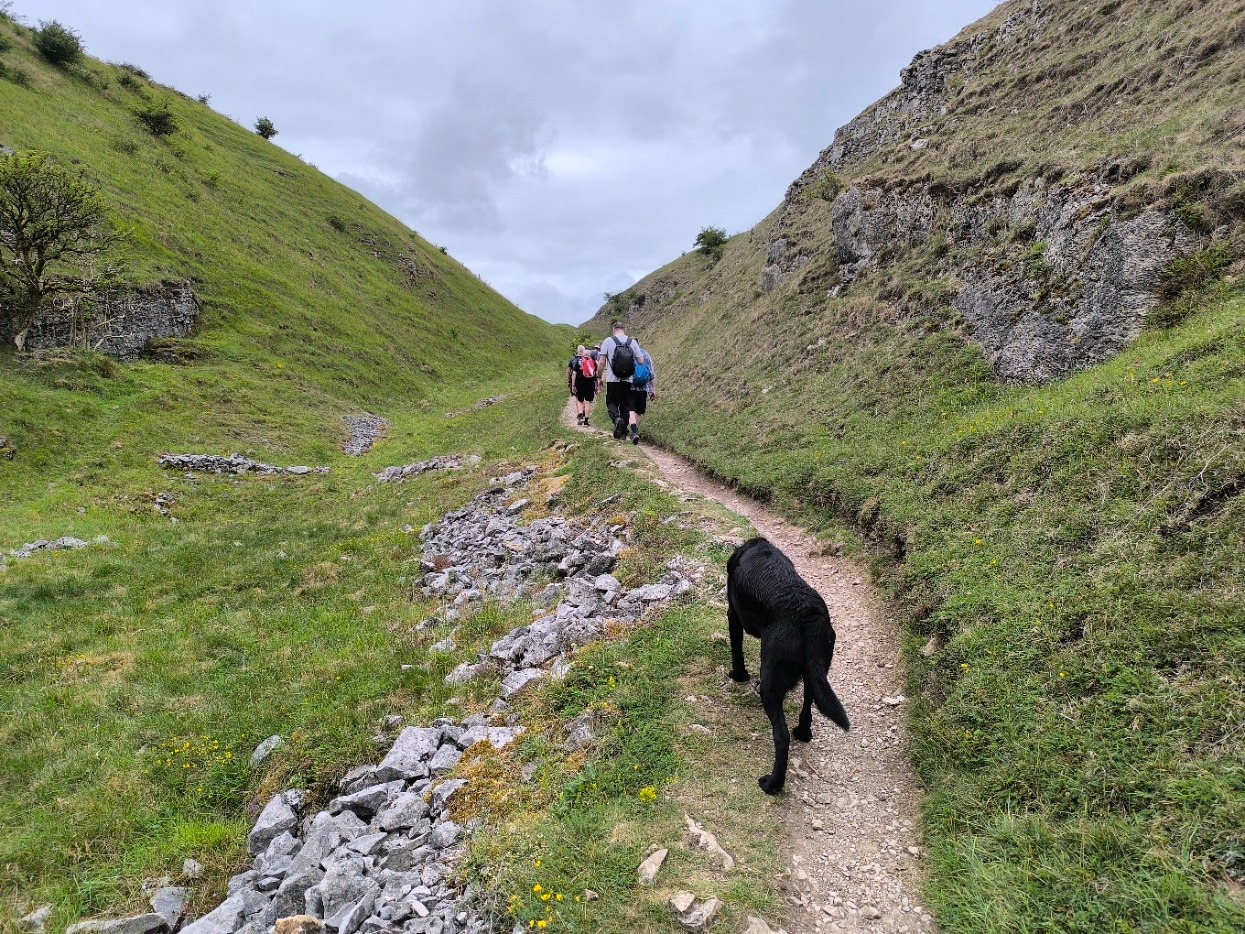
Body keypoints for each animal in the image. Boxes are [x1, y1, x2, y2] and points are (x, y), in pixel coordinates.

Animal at [727, 537, 850, 794]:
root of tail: (809, 615)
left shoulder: (733, 614)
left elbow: (736, 650)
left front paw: (738, 675)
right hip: (817, 671)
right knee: (808, 705)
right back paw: (803, 733)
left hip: (771, 682)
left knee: (782, 737)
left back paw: (773, 784)